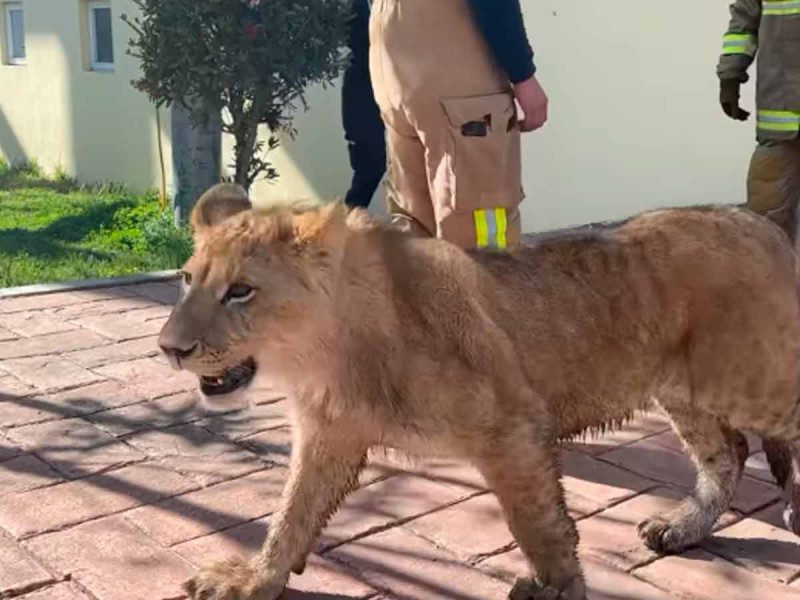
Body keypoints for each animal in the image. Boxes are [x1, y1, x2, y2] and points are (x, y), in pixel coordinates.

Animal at [158, 183, 800, 600]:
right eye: (187, 279)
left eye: (241, 291)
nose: (169, 348)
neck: (326, 356)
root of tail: (765, 225)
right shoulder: (326, 438)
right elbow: (293, 513)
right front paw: (256, 579)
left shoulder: (514, 427)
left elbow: (538, 524)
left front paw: (557, 588)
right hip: (683, 391)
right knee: (728, 455)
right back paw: (684, 527)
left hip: (750, 379)